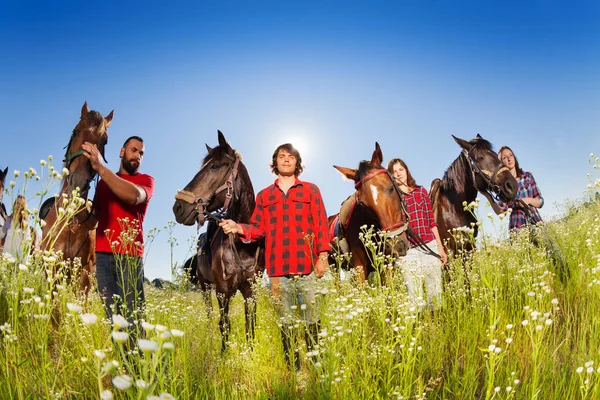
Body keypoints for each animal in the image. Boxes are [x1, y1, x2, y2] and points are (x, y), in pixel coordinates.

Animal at [172, 130, 264, 350]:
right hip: (205, 287)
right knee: (209, 314)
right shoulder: (222, 291)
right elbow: (224, 324)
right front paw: (223, 354)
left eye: (214, 166)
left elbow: (250, 325)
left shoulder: (251, 290)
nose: (178, 207)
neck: (242, 245)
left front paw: (250, 352)